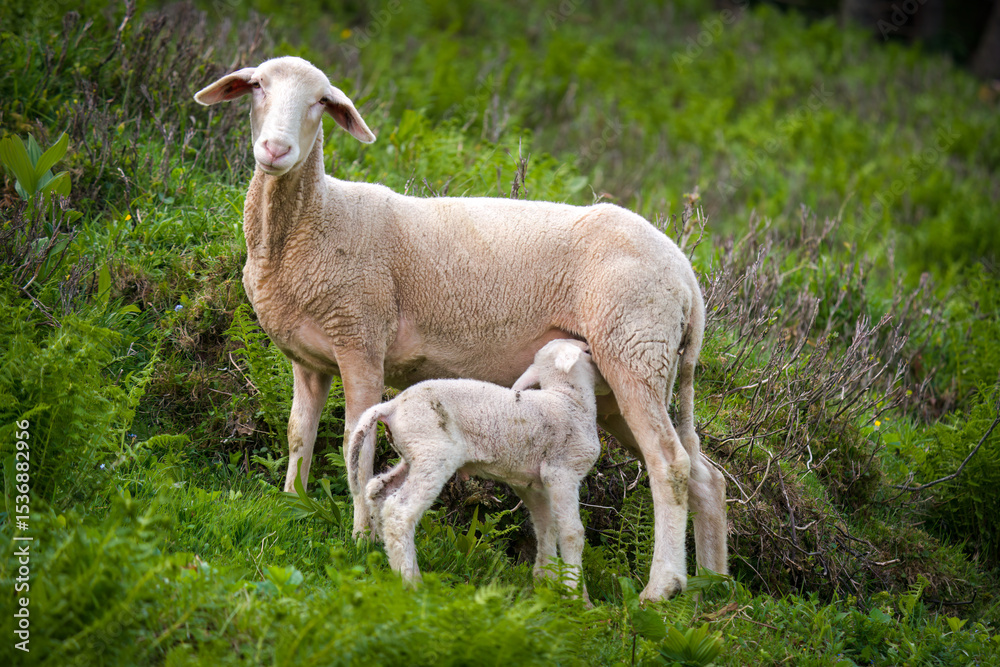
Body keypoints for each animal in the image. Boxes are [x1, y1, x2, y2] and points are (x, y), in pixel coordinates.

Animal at [346, 339, 601, 600]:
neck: (569, 400)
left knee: (378, 489)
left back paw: (381, 551)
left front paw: (545, 583)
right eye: (587, 351)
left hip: (413, 454)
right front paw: (577, 596)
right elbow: (571, 532)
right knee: (399, 511)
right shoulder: (562, 472)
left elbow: (544, 526)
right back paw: (410, 581)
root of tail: (391, 406)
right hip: (433, 452)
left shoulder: (532, 484)